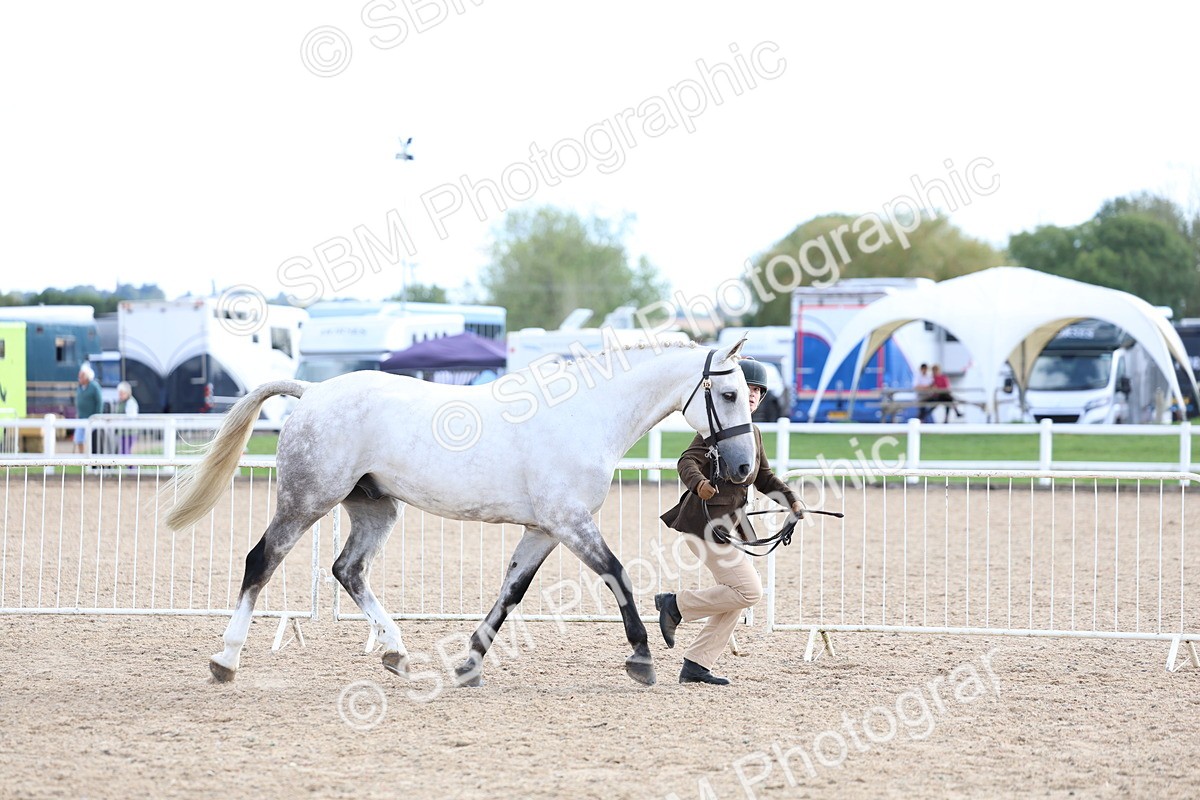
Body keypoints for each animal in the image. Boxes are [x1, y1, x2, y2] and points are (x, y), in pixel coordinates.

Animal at [165, 337, 757, 687]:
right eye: (728, 394)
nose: (745, 466)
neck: (585, 415)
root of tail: (310, 392)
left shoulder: (543, 530)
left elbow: (511, 593)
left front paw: (469, 663)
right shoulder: (569, 522)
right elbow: (617, 574)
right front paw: (642, 657)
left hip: (374, 509)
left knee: (348, 570)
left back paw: (396, 654)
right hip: (307, 499)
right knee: (261, 561)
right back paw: (226, 660)